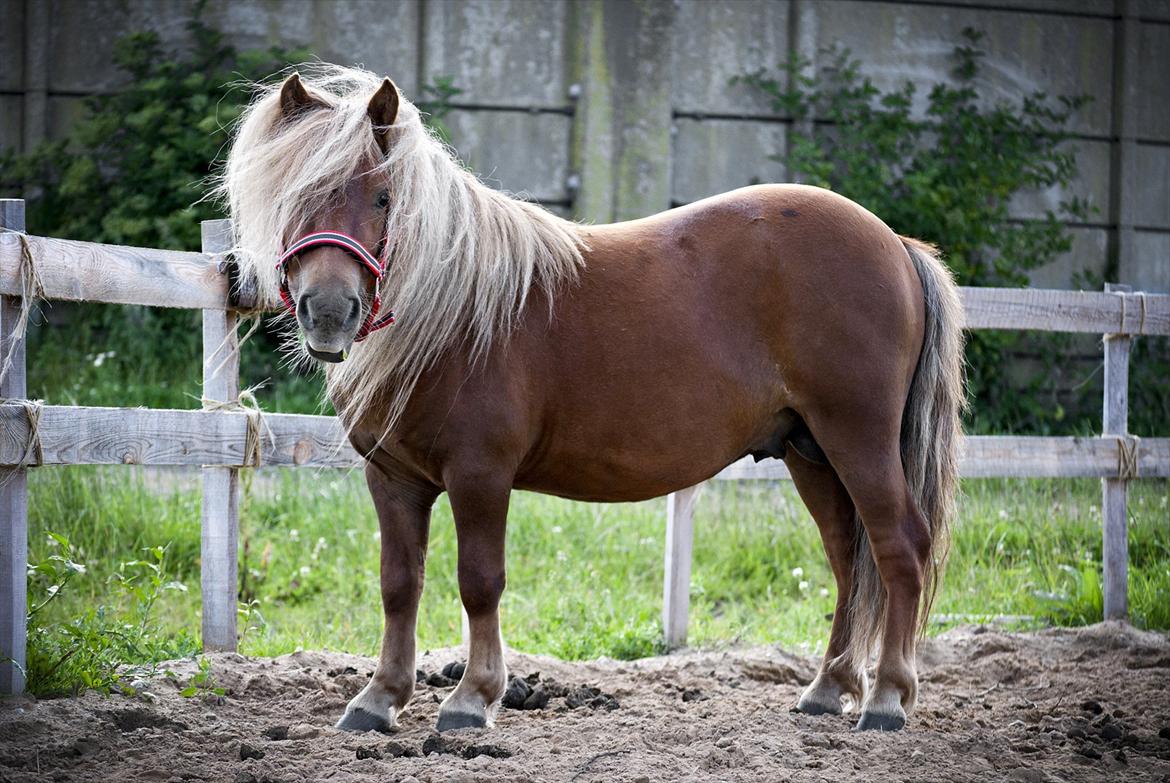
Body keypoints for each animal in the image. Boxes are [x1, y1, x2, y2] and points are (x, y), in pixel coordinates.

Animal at [217, 62, 959, 735]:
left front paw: (473, 697)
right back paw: (829, 688)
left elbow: (478, 579)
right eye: (290, 195)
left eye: (380, 197)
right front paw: (379, 699)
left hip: (856, 438)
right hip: (810, 451)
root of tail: (895, 244)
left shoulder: (480, 474)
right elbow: (399, 584)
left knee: (899, 547)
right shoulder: (393, 478)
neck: (454, 310)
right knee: (848, 560)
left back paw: (888, 699)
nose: (328, 311)